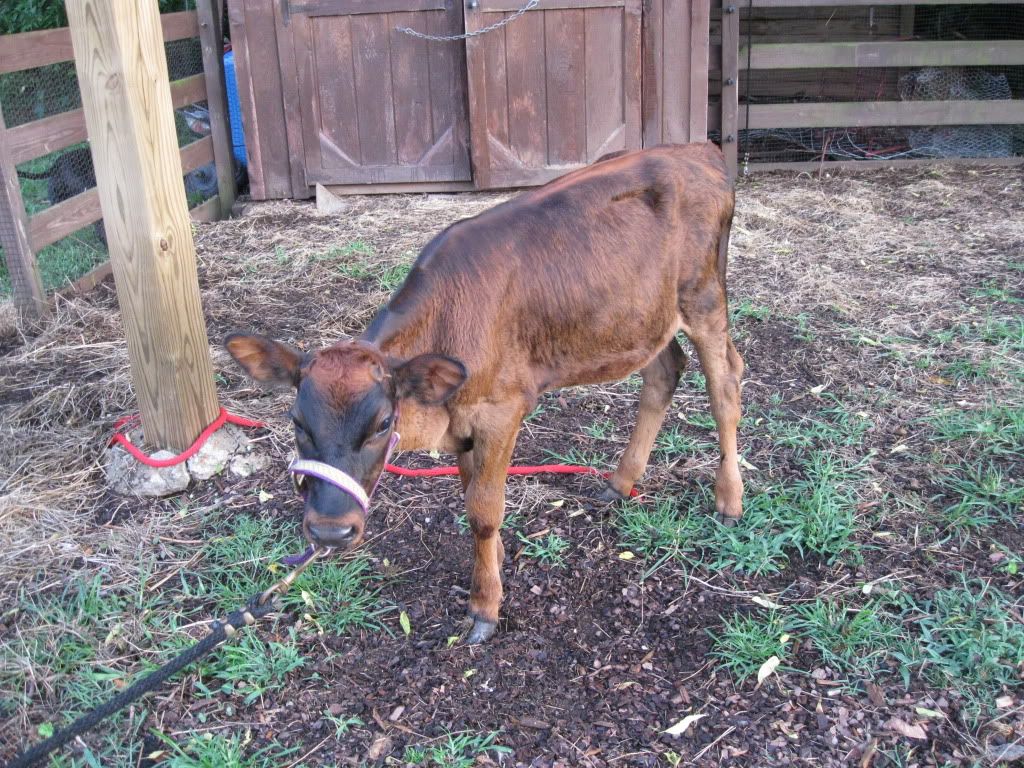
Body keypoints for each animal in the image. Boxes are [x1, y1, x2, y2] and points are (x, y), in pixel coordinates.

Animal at [225, 142, 744, 643]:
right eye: (297, 422)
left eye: (383, 423)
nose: (329, 531)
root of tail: (698, 151)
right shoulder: (463, 424)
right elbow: (470, 495)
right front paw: (491, 568)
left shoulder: (501, 411)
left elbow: (483, 510)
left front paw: (485, 607)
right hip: (642, 318)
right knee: (665, 373)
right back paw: (620, 482)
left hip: (704, 299)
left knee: (725, 387)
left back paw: (729, 499)